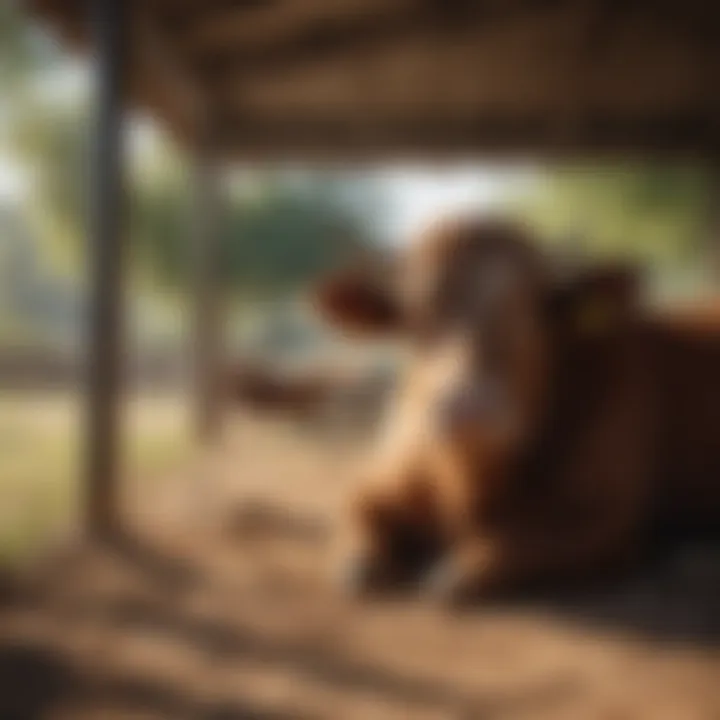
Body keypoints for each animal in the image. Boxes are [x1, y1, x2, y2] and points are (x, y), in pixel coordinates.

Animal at [312, 214, 720, 600]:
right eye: (415, 316)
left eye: (530, 310)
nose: (469, 406)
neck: (467, 488)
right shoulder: (377, 482)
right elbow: (358, 542)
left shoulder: (606, 515)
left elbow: (502, 550)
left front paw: (455, 573)